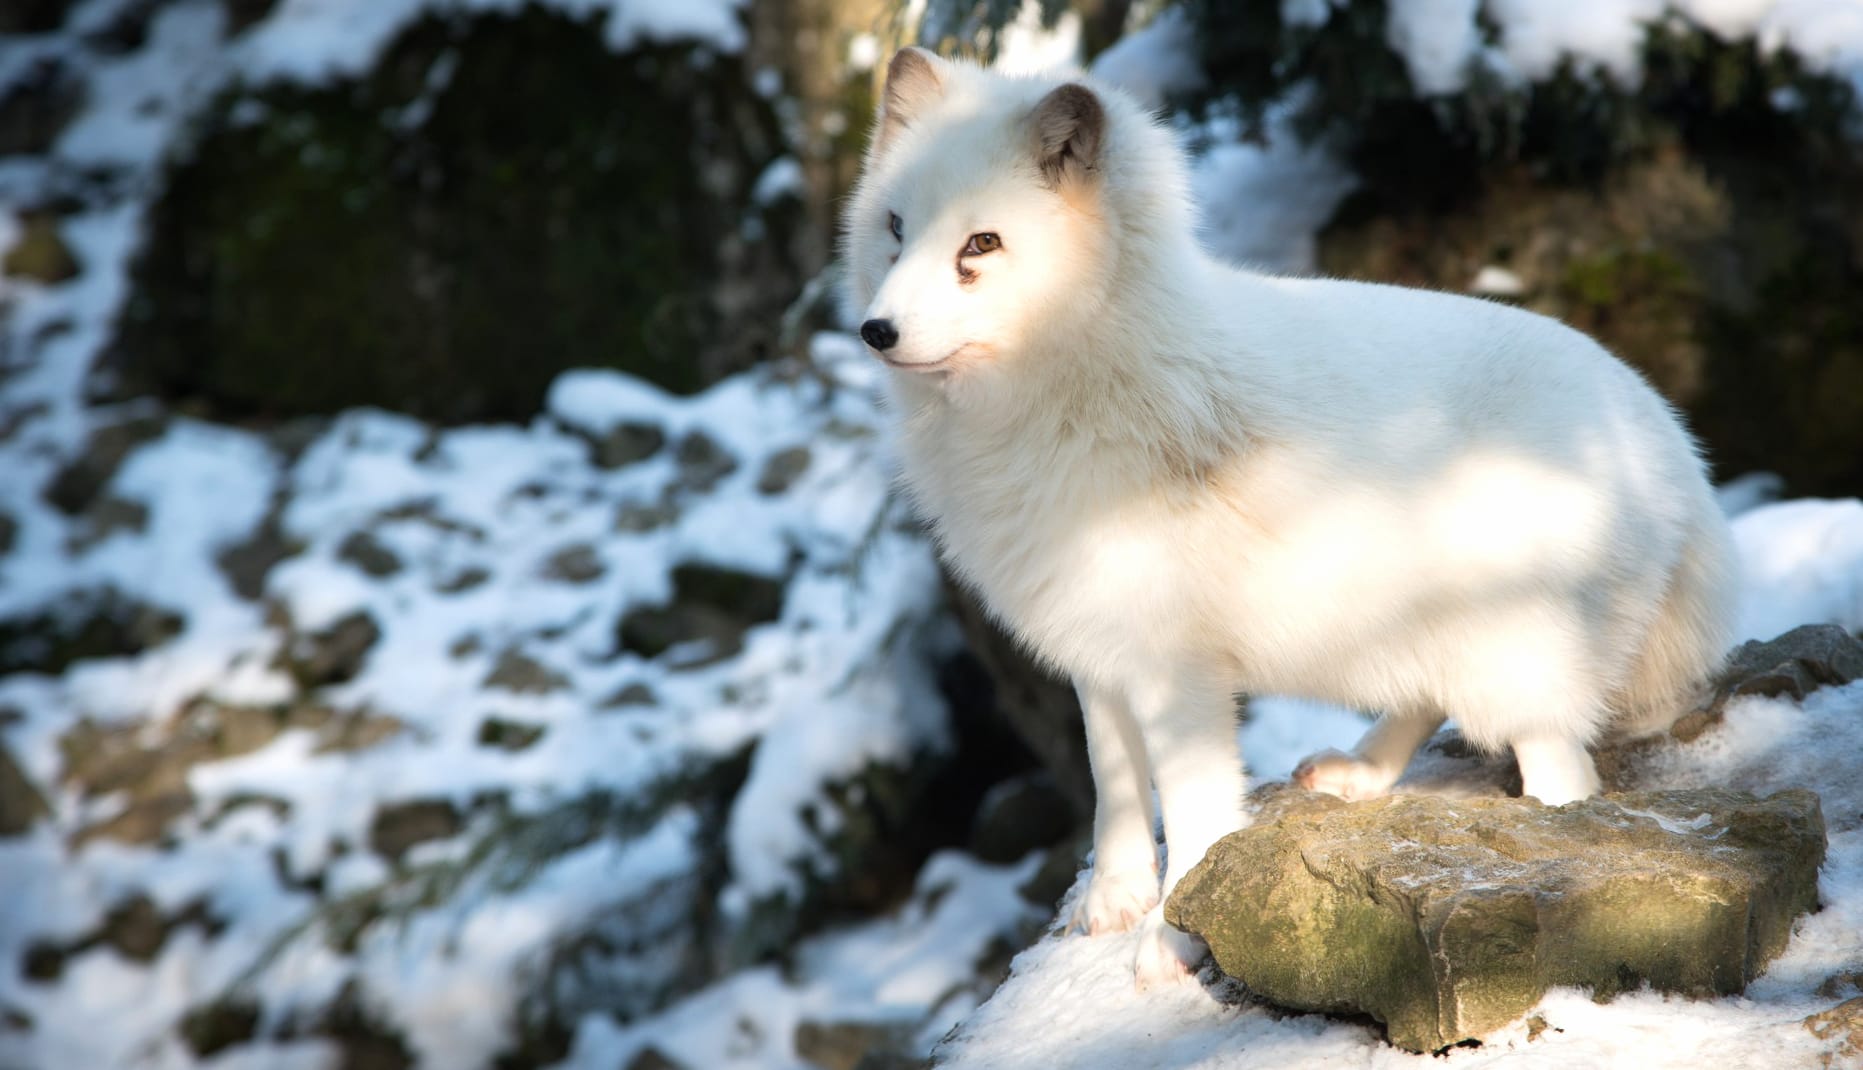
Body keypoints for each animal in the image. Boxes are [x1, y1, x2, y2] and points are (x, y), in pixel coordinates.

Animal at [845, 48, 1743, 991]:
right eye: (896, 228)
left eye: (979, 245)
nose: (875, 330)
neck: (1079, 382)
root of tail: (1668, 438)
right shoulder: (1096, 648)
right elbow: (1113, 784)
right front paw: (1113, 901)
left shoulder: (1178, 673)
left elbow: (1192, 811)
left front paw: (1171, 938)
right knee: (1426, 701)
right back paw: (1358, 775)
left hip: (1520, 658)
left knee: (1562, 774)